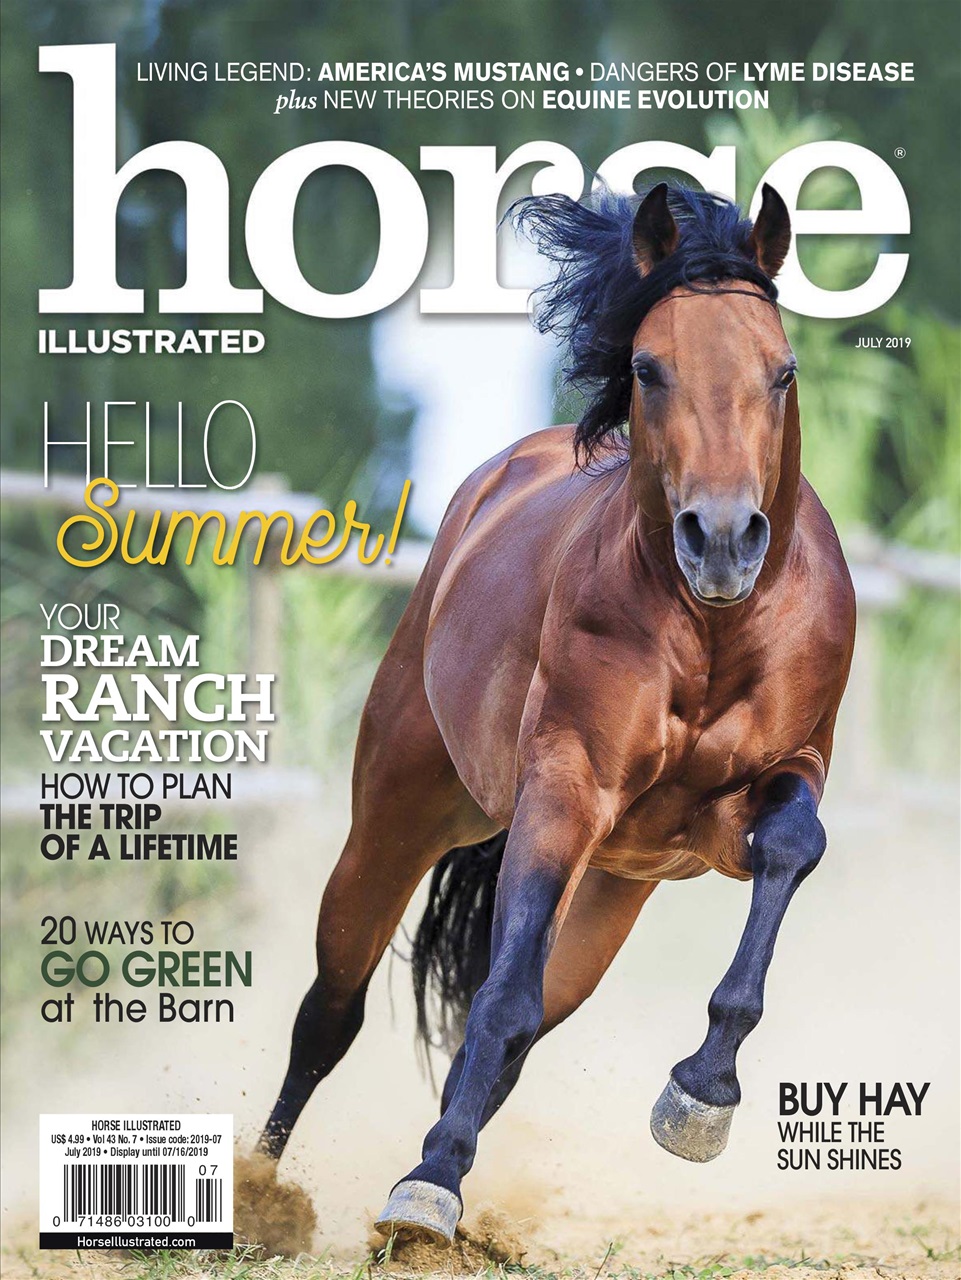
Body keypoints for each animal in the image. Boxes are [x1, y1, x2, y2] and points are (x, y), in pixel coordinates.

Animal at [256, 181, 856, 1244]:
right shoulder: (567, 789)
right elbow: (495, 999)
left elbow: (793, 844)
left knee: (522, 1023)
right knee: (336, 1008)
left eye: (781, 373)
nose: (721, 540)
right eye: (649, 369)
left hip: (611, 891)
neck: (712, 631)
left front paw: (701, 1095)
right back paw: (266, 1198)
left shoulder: (742, 803)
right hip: (403, 812)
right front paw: (425, 1192)